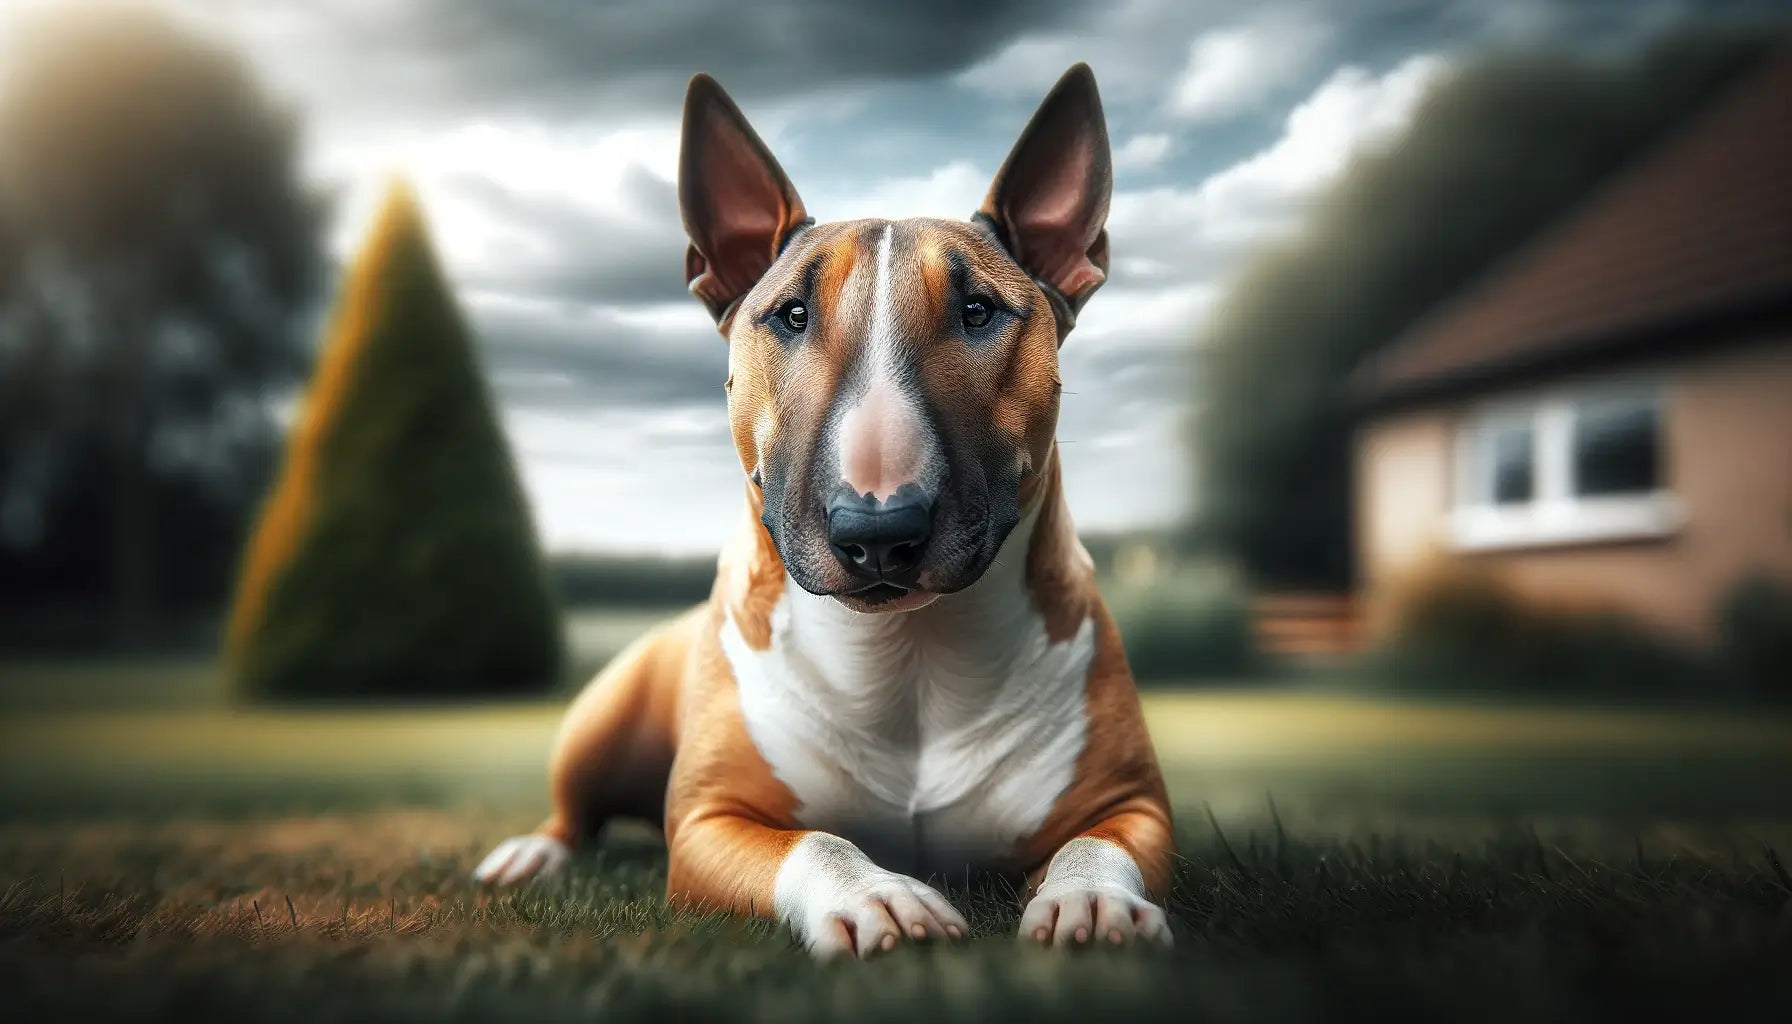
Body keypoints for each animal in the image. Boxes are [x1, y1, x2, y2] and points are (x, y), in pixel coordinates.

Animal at [476, 62, 1175, 961]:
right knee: (573, 812)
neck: (905, 652)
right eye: (792, 314)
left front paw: (1091, 902)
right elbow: (814, 840)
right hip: (600, 722)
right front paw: (879, 898)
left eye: (978, 311)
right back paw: (531, 855)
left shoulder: (1137, 806)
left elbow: (1099, 841)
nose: (878, 533)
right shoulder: (705, 823)